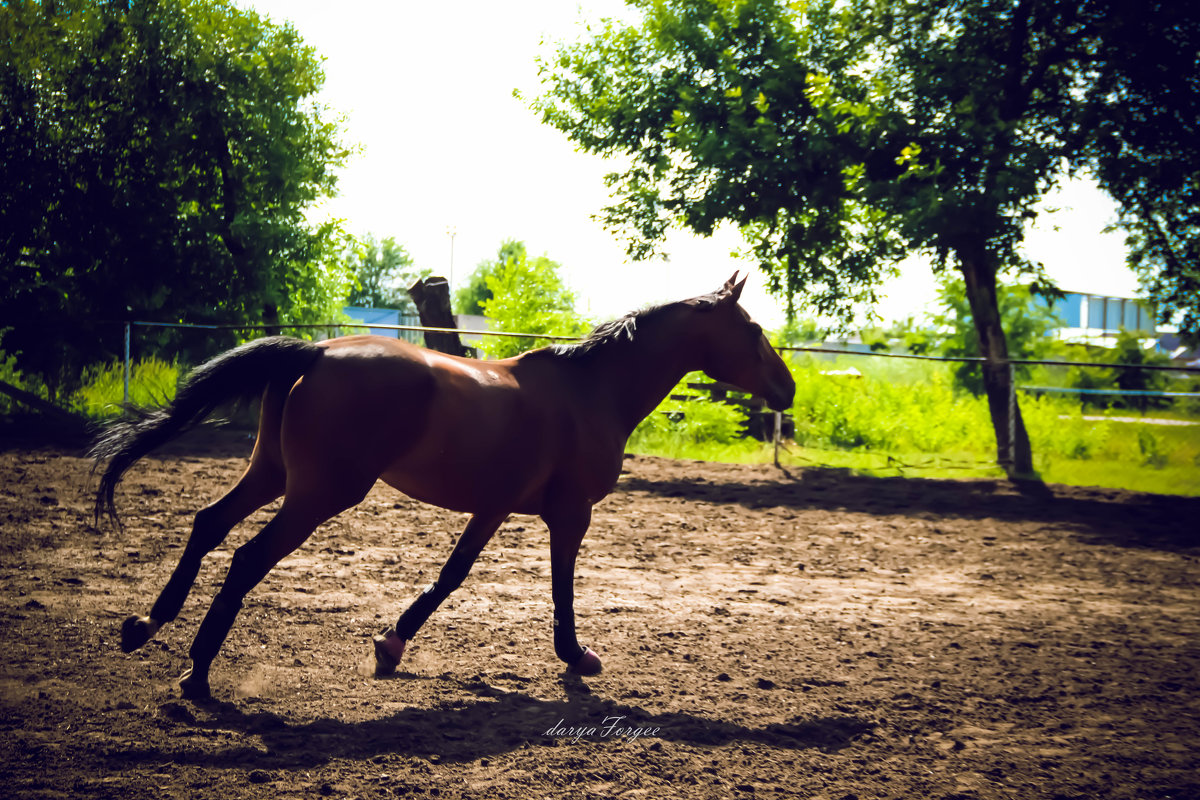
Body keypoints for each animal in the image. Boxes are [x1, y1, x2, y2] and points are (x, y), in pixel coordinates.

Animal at [91, 275, 796, 700]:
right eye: (754, 332)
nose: (788, 389)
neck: (590, 391)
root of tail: (318, 353)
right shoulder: (570, 515)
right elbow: (561, 588)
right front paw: (576, 657)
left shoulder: (494, 508)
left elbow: (453, 574)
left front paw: (390, 645)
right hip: (320, 494)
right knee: (245, 557)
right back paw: (197, 675)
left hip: (274, 474)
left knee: (209, 523)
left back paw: (145, 626)